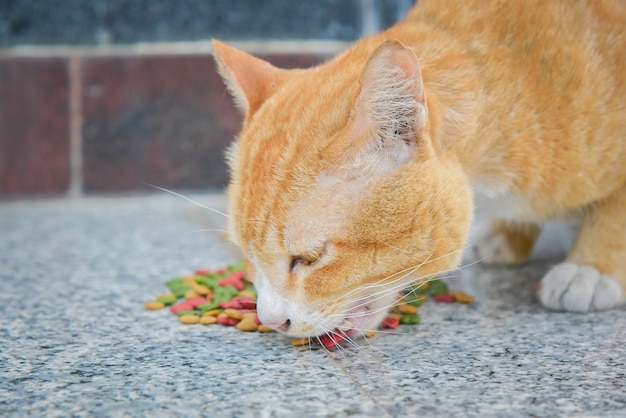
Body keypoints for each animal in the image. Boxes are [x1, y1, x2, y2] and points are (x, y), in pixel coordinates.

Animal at [211, 0, 624, 338]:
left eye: (309, 259)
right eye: (246, 255)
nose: (271, 321)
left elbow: (613, 213)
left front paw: (592, 267)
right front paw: (510, 232)